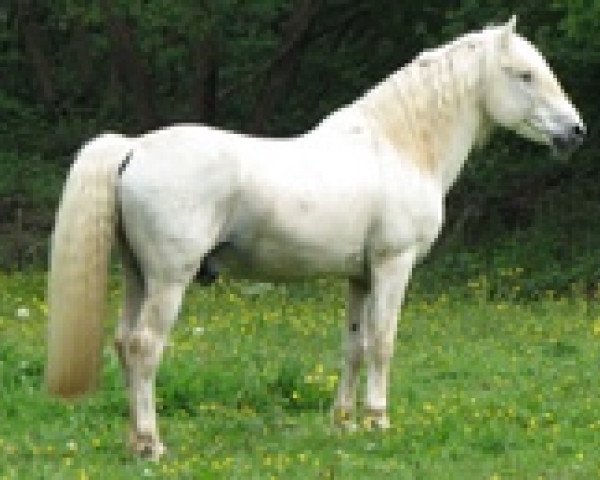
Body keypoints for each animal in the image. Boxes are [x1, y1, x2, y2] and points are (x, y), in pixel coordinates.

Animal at [45, 17, 580, 462]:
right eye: (524, 75)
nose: (575, 132)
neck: (399, 146)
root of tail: (134, 147)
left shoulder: (360, 277)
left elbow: (354, 345)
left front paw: (343, 423)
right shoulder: (393, 264)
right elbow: (382, 341)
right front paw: (378, 421)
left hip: (139, 276)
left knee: (122, 344)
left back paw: (135, 441)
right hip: (170, 280)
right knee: (144, 347)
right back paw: (152, 445)